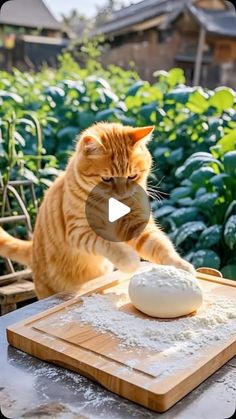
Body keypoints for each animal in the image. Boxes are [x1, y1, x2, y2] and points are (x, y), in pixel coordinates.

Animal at [0, 122, 195, 298]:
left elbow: (159, 245)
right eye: (107, 179)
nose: (122, 194)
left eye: (132, 176)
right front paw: (130, 261)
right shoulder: (79, 231)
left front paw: (180, 267)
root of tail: (32, 248)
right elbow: (107, 244)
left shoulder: (135, 223)